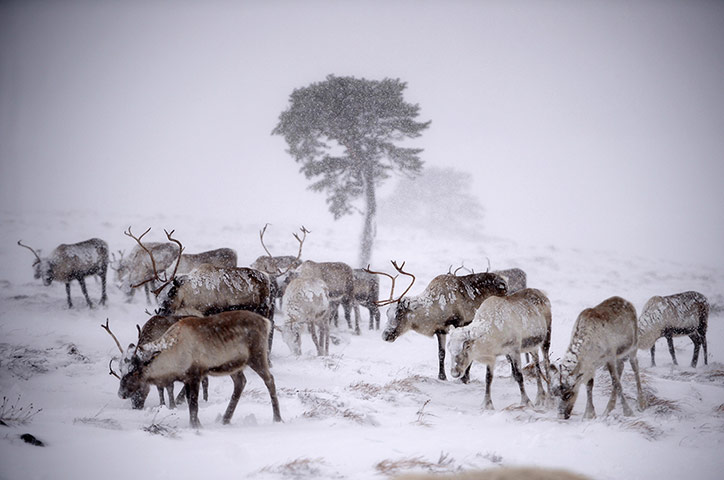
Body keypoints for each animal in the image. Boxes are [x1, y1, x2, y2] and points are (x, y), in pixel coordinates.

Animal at [117, 310, 282, 428]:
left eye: (135, 371)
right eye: (121, 370)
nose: (121, 393)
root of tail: (266, 322)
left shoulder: (195, 375)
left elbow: (194, 405)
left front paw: (195, 427)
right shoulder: (186, 379)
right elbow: (190, 402)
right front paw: (198, 424)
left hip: (257, 356)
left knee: (270, 380)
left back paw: (277, 418)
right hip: (234, 366)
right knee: (240, 382)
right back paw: (225, 419)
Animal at [367, 262, 508, 382]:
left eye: (400, 314)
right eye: (387, 313)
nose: (385, 335)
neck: (436, 308)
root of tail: (504, 281)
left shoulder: (460, 322)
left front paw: (462, 378)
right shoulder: (441, 329)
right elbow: (441, 353)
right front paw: (442, 377)